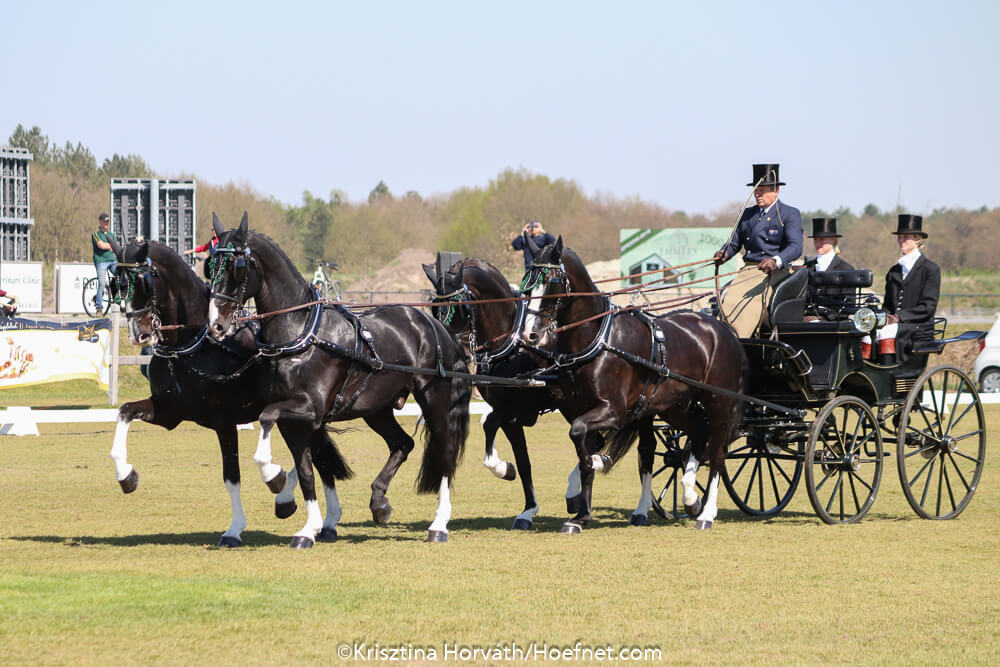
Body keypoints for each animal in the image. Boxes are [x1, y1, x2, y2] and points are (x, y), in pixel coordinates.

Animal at [109, 234, 352, 547]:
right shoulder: (168, 413)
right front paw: (126, 475)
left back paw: (303, 505)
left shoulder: (224, 422)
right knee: (319, 460)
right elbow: (125, 412)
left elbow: (231, 476)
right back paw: (324, 518)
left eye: (144, 281)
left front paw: (235, 529)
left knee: (315, 460)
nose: (139, 334)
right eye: (117, 284)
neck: (192, 344)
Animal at [206, 214, 471, 545]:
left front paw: (274, 477)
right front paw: (307, 526)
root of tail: (431, 322)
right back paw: (379, 502)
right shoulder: (293, 419)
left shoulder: (310, 409)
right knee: (403, 443)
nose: (216, 325)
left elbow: (268, 419)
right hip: (377, 409)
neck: (301, 333)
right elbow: (307, 470)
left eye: (237, 266)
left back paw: (439, 524)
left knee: (445, 452)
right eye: (209, 266)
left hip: (434, 400)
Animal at [519, 237, 748, 531]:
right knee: (698, 432)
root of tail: (723, 330)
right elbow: (583, 444)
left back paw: (707, 513)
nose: (530, 334)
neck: (598, 337)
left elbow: (579, 436)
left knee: (718, 452)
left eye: (552, 281)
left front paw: (597, 465)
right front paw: (581, 514)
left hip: (720, 403)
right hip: (675, 406)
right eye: (526, 282)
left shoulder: (615, 412)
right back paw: (689, 497)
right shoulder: (582, 408)